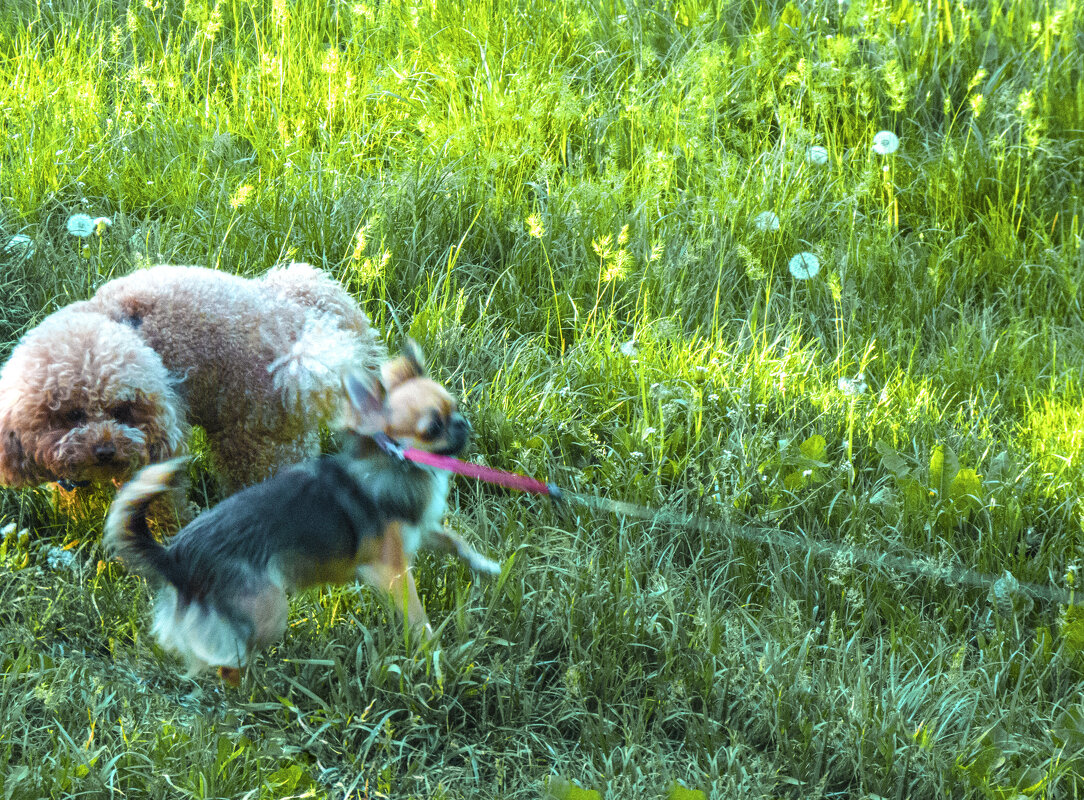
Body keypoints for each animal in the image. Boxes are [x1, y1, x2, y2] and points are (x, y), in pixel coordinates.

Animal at [103, 340, 496, 680]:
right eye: (432, 428)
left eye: (455, 407)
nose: (463, 424)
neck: (393, 464)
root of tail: (174, 557)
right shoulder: (391, 570)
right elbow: (416, 614)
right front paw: (433, 653)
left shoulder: (418, 530)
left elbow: (455, 542)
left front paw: (488, 566)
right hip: (269, 611)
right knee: (227, 662)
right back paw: (254, 689)